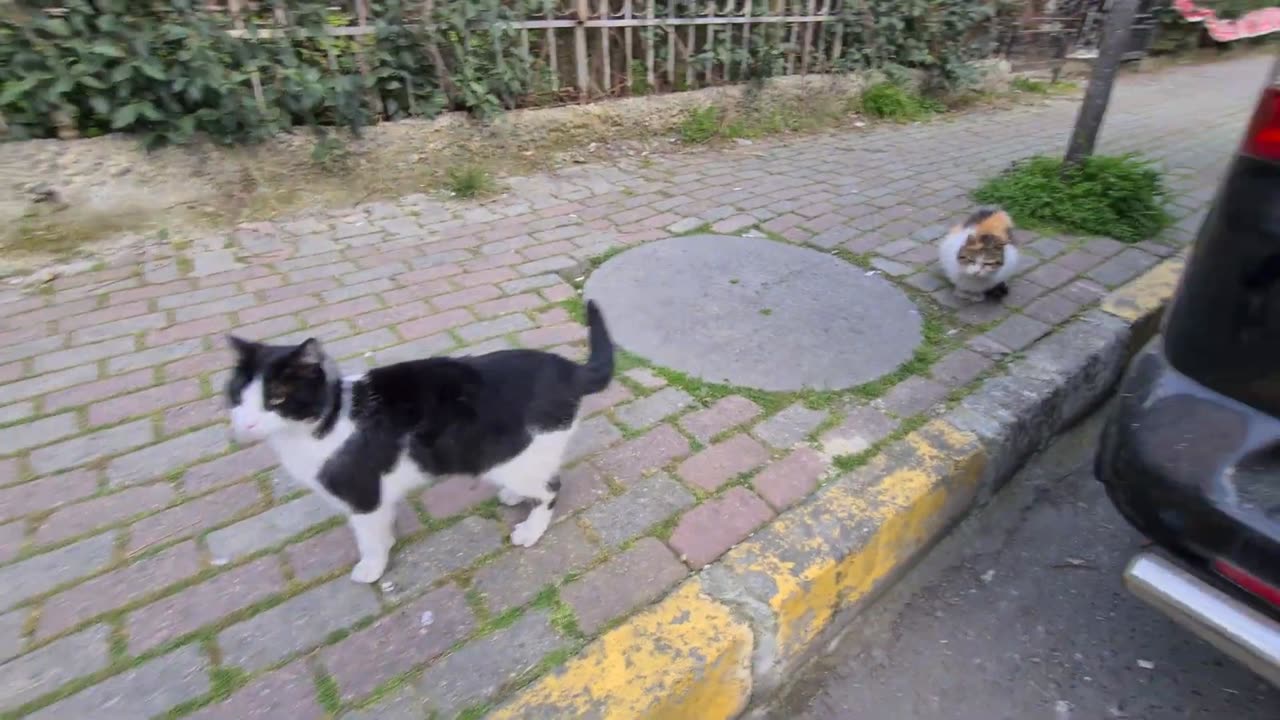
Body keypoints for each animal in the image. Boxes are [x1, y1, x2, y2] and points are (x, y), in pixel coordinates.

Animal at [226, 299, 614, 579]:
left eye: (277, 398)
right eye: (238, 395)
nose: (246, 423)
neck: (328, 420)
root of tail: (570, 371)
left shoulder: (361, 493)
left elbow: (368, 535)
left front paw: (372, 566)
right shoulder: (377, 494)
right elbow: (382, 522)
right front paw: (386, 541)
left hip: (515, 454)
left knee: (552, 488)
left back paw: (531, 529)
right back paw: (514, 495)